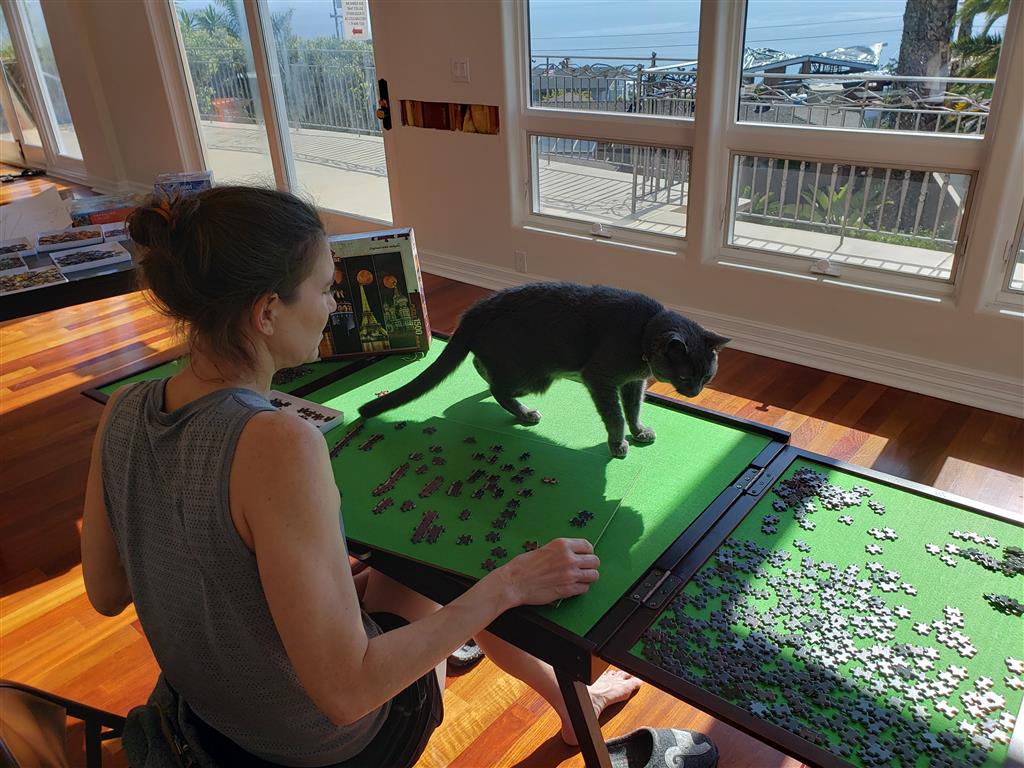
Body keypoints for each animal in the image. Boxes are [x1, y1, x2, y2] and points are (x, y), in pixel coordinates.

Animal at [359, 282, 730, 457]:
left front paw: (639, 431)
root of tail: (475, 310)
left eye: (706, 377)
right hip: (535, 376)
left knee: (482, 367)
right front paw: (618, 442)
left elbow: (634, 409)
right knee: (498, 387)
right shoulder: (601, 378)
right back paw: (525, 414)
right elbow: (615, 416)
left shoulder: (633, 383)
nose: (694, 392)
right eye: (685, 376)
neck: (642, 336)